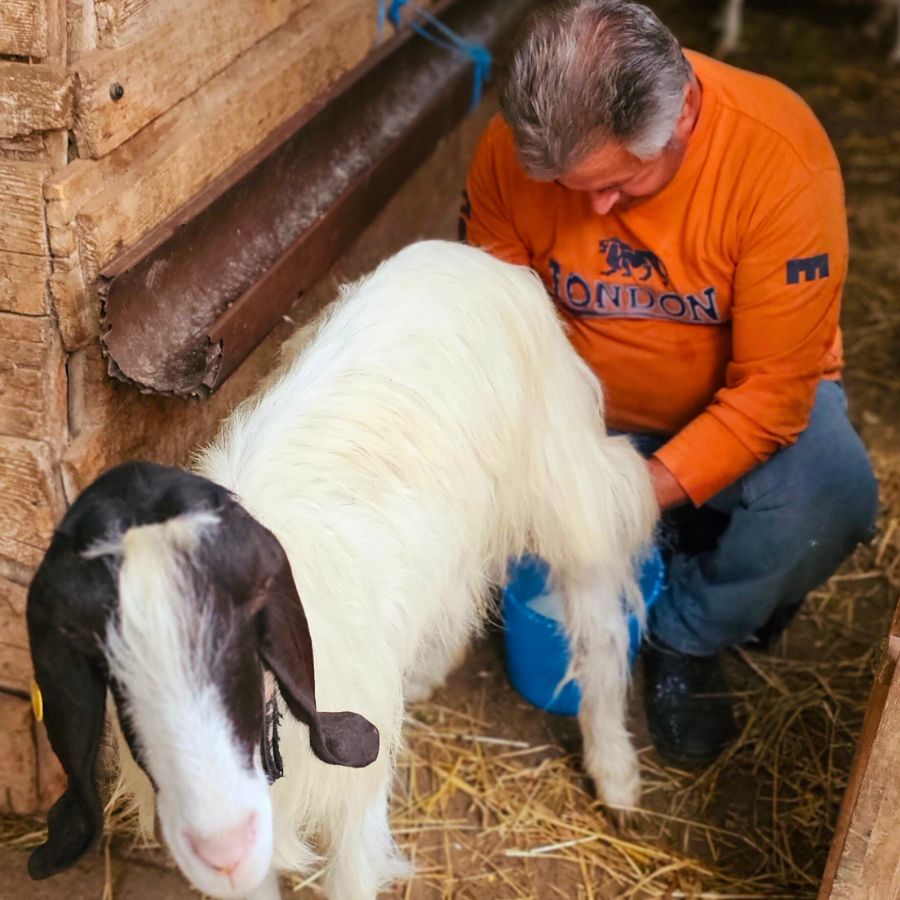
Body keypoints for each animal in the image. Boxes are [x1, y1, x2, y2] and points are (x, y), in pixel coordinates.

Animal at [27, 240, 658, 900]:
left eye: (244, 649)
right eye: (115, 679)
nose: (222, 844)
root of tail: (469, 252)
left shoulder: (357, 790)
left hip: (565, 479)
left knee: (597, 611)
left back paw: (616, 777)